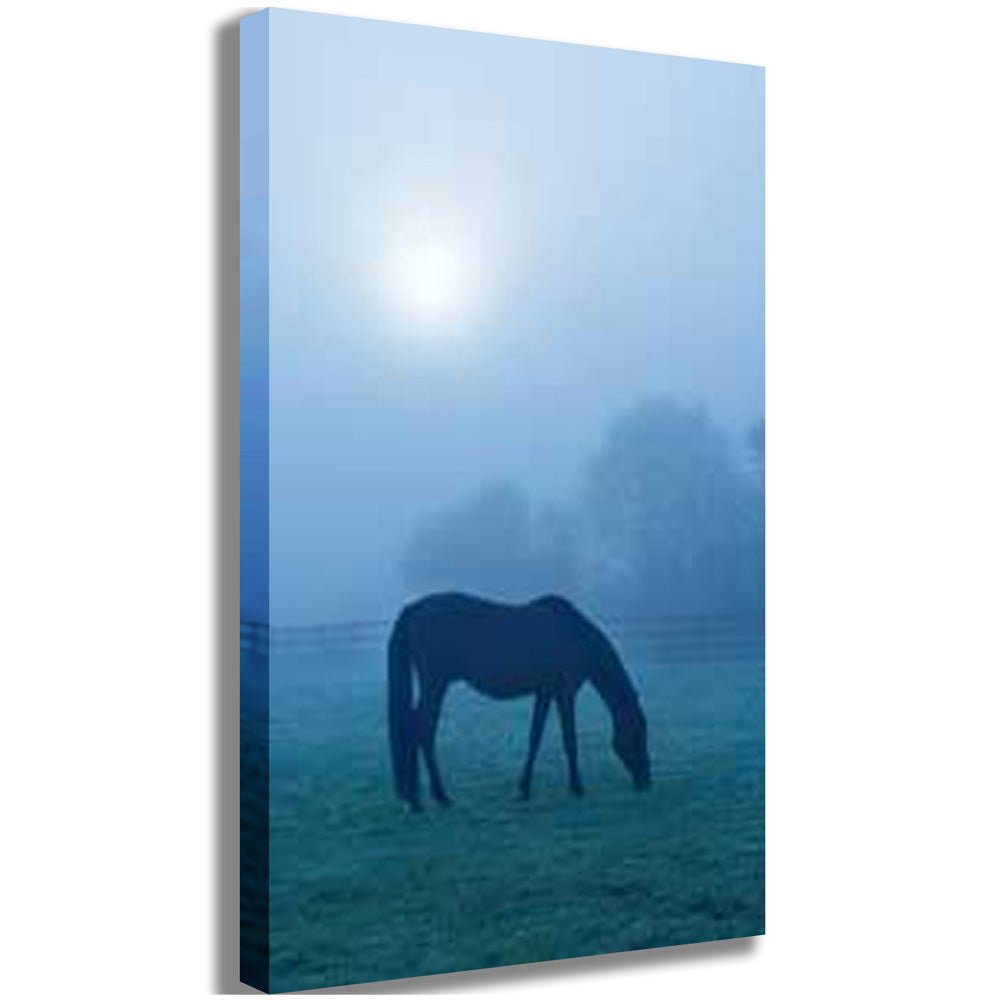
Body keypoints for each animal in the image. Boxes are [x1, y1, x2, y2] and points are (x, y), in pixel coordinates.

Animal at [387, 591, 651, 811]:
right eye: (637, 734)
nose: (646, 780)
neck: (576, 637)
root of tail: (416, 607)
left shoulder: (545, 693)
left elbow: (535, 738)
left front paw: (524, 789)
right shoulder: (565, 693)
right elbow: (569, 740)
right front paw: (577, 788)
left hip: (436, 685)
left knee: (418, 728)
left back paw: (418, 797)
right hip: (436, 683)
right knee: (421, 729)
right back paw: (433, 797)